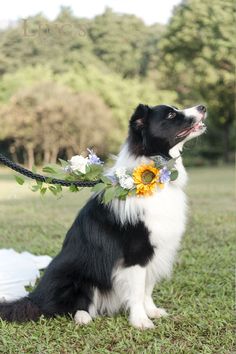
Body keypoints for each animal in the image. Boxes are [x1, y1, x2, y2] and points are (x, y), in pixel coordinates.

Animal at [0, 102, 206, 330]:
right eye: (170, 115)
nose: (202, 107)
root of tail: (34, 298)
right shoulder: (136, 253)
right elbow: (137, 291)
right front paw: (141, 321)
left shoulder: (156, 249)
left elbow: (147, 288)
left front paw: (151, 312)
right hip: (76, 278)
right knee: (65, 307)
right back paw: (83, 317)